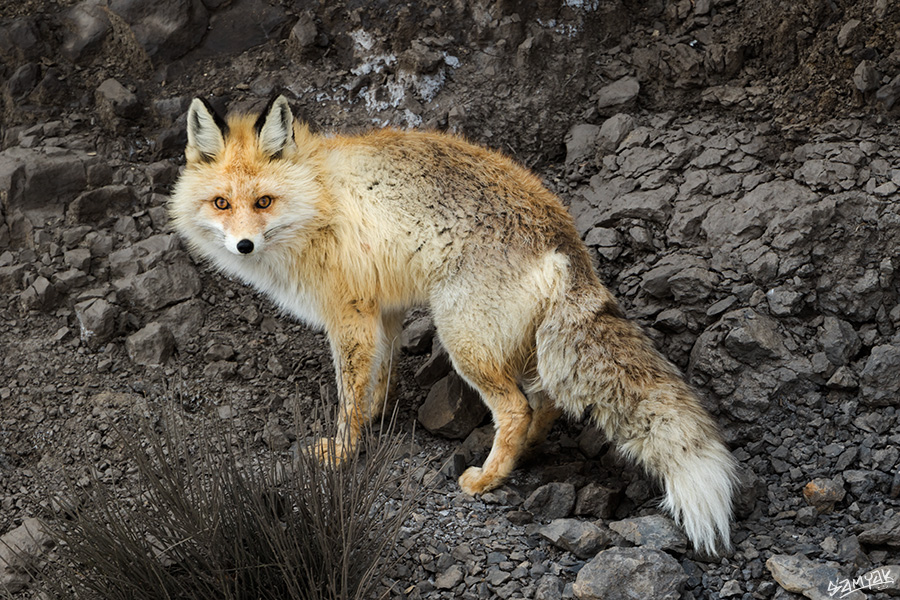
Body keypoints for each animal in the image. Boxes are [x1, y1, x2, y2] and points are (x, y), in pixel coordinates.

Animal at [167, 96, 740, 556]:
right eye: (221, 203)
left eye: (264, 202)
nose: (243, 245)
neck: (317, 198)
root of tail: (563, 237)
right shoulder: (382, 310)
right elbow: (377, 381)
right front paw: (375, 420)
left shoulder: (349, 314)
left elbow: (349, 397)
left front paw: (341, 453)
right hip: (509, 345)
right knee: (544, 402)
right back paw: (524, 456)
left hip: (464, 340)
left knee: (516, 408)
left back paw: (486, 479)